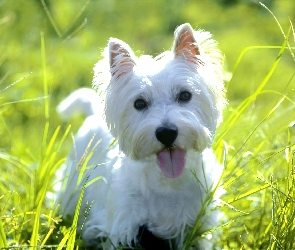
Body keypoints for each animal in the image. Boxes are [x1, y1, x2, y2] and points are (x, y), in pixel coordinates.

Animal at [57, 22, 227, 249]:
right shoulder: (123, 227)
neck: (168, 183)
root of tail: (93, 112)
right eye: (139, 103)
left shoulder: (200, 225)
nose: (166, 133)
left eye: (185, 95)